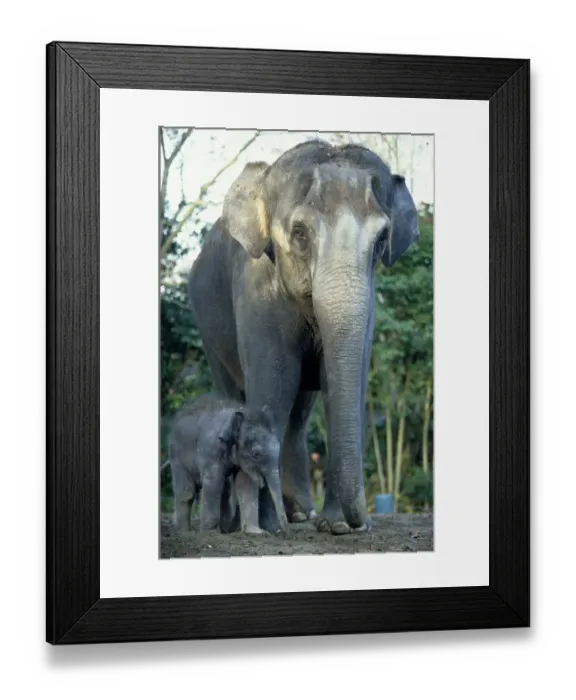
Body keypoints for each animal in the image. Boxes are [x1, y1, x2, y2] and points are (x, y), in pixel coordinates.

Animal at [164, 393, 287, 534]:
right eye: (256, 454)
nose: (282, 531)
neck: (240, 412)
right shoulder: (210, 449)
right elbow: (213, 482)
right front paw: (210, 534)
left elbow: (246, 483)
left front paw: (256, 532)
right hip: (176, 457)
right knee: (187, 492)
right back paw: (184, 532)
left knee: (224, 491)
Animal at [187, 139, 419, 535]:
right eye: (299, 233)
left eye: (380, 240)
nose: (364, 524)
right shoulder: (256, 286)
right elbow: (275, 381)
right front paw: (267, 527)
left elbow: (341, 383)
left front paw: (335, 526)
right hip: (208, 329)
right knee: (238, 395)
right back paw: (235, 523)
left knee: (299, 415)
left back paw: (300, 515)